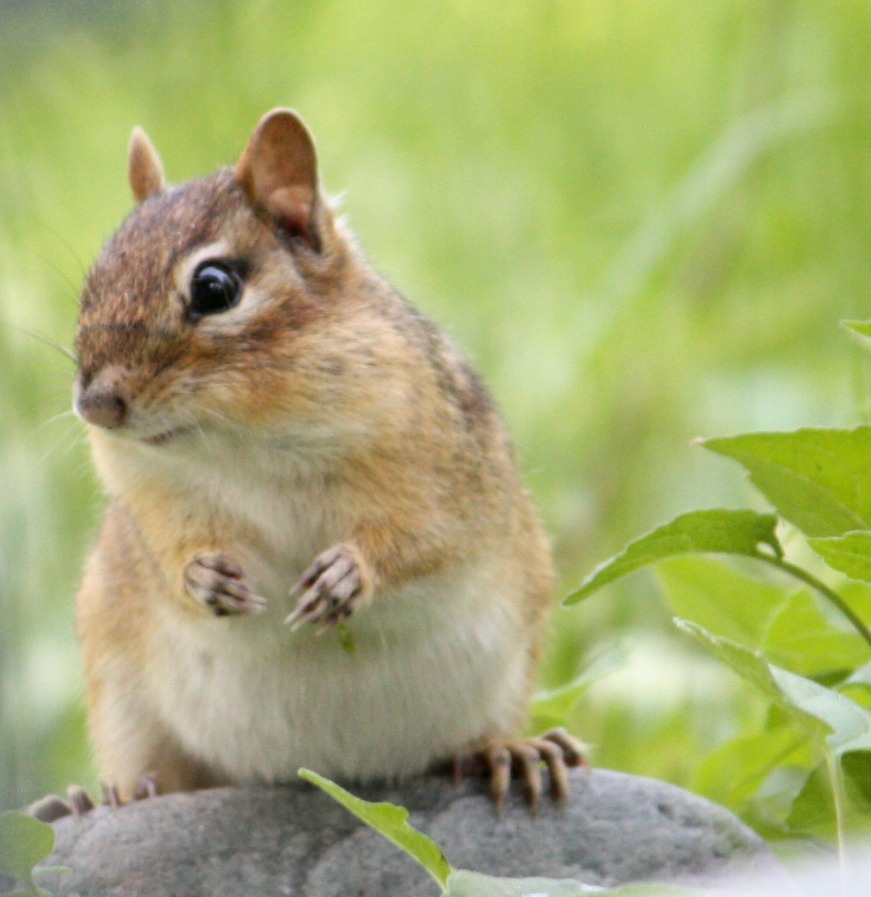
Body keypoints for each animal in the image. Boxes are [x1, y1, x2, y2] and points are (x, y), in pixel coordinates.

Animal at [65, 108, 583, 814]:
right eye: (93, 281)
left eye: (214, 287)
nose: (96, 404)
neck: (244, 443)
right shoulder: (154, 505)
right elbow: (170, 557)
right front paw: (203, 577)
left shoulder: (436, 474)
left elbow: (425, 538)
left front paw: (347, 575)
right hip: (122, 695)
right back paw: (107, 799)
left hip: (507, 669)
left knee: (482, 734)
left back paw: (511, 750)